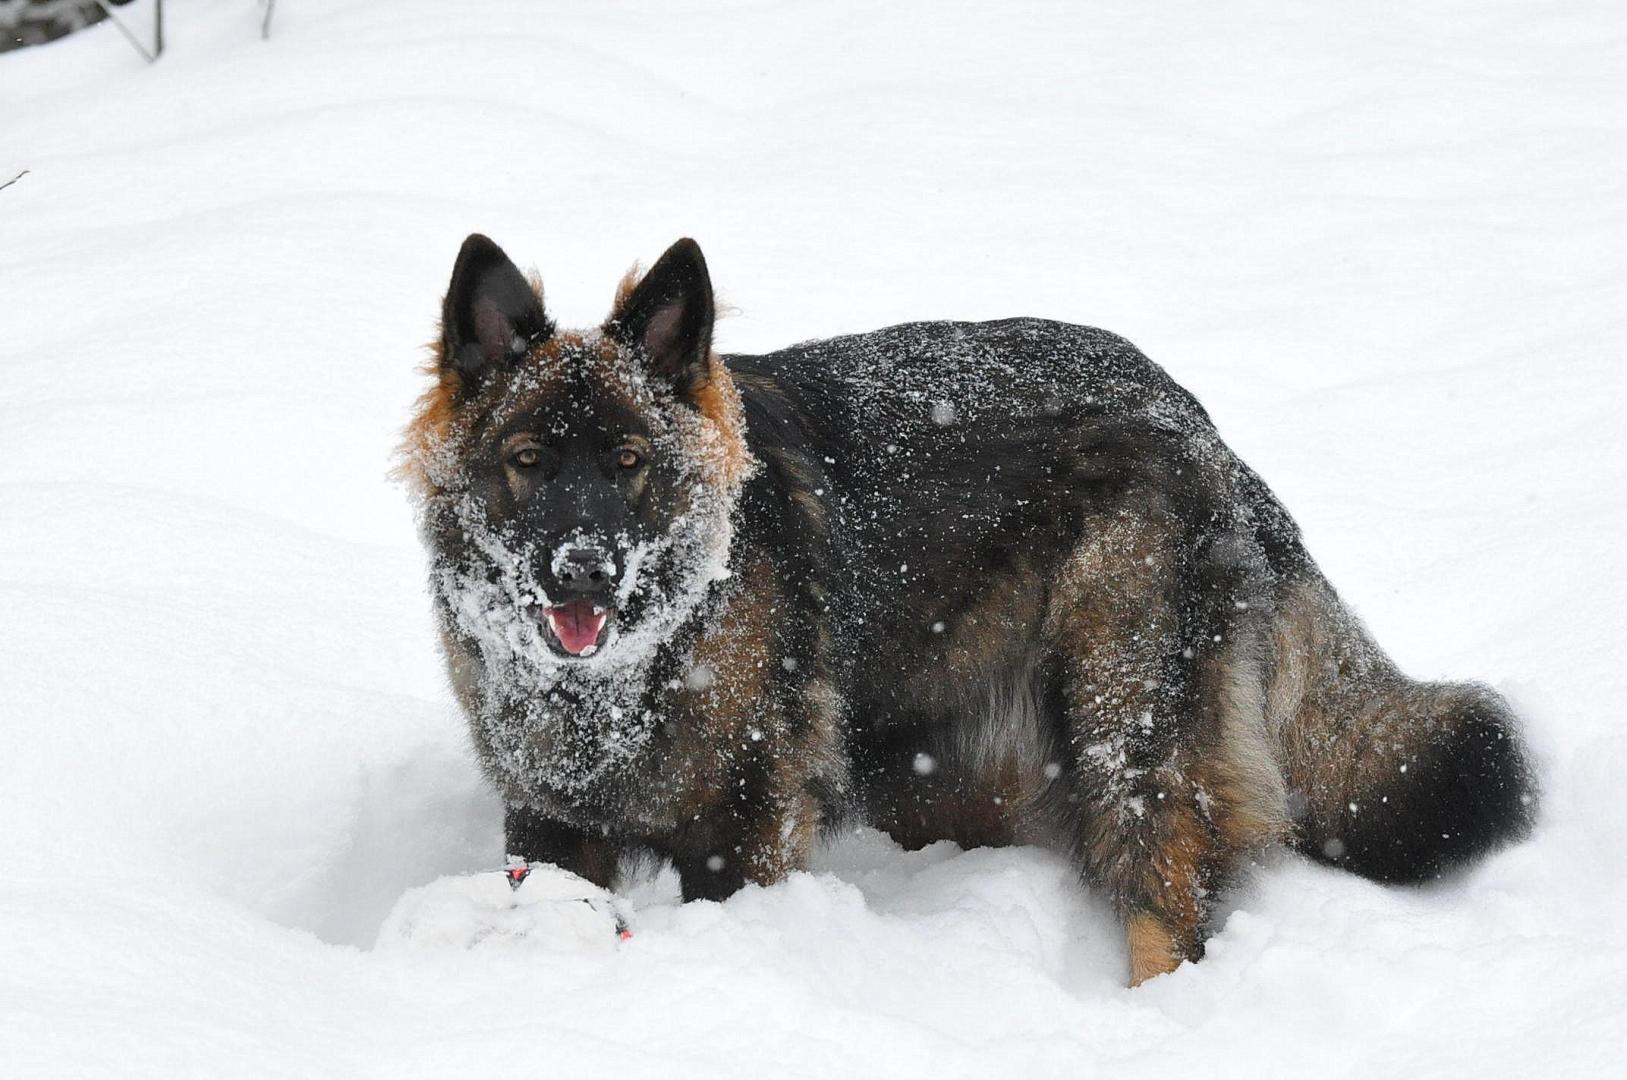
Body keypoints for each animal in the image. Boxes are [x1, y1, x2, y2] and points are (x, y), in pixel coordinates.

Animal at [400, 234, 1535, 984]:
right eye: (529, 461)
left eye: (630, 463)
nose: (582, 571)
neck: (638, 668)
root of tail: (1198, 424)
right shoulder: (548, 819)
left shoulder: (746, 824)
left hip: (1123, 726)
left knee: (1169, 899)